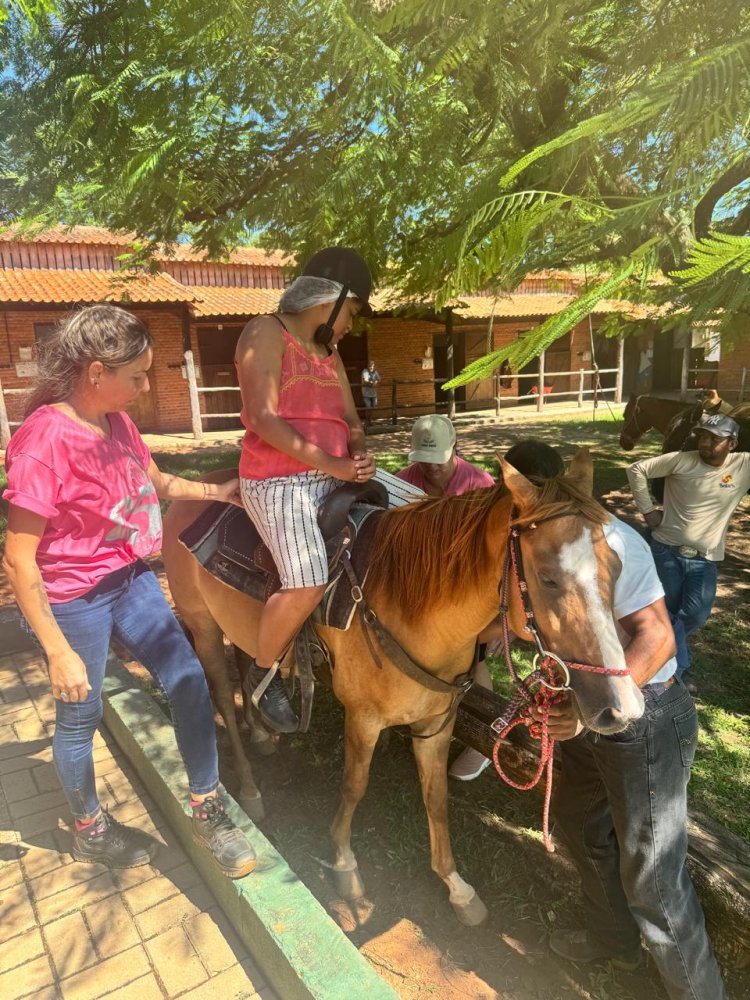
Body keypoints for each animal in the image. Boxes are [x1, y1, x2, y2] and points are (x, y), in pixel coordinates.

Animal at [163, 452, 648, 920]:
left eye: (617, 567)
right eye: (547, 577)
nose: (621, 708)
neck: (409, 606)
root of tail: (201, 486)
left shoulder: (436, 723)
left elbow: (436, 797)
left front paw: (456, 888)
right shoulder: (363, 719)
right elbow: (354, 786)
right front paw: (345, 866)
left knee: (248, 663)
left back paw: (265, 728)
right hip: (202, 626)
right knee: (222, 698)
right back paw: (249, 787)